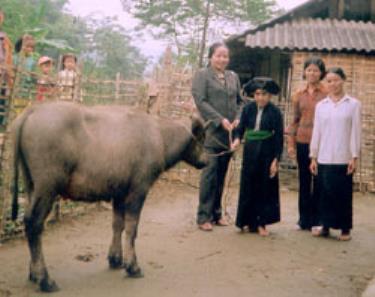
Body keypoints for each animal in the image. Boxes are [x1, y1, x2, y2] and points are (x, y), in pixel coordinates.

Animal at [11, 102, 209, 292]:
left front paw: (115, 259)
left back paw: (34, 273)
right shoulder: (138, 190)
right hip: (47, 188)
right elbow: (131, 228)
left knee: (30, 225)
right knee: (34, 224)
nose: (206, 160)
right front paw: (132, 266)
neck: (160, 136)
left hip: (31, 186)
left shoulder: (119, 193)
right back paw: (45, 280)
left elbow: (117, 225)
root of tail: (32, 110)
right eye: (202, 138)